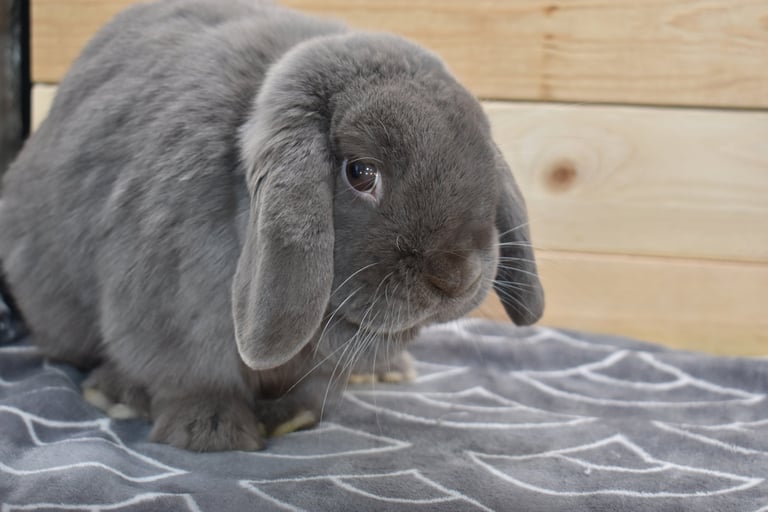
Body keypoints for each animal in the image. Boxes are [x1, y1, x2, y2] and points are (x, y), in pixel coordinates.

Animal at [0, 0, 544, 451]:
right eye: (361, 173)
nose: (456, 277)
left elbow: (314, 387)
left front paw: (291, 417)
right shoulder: (170, 312)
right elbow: (193, 376)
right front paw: (212, 433)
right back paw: (118, 395)